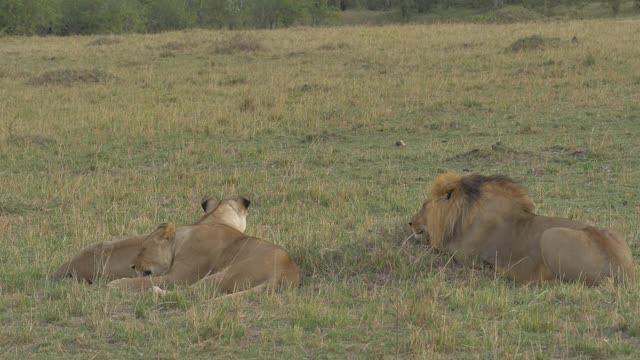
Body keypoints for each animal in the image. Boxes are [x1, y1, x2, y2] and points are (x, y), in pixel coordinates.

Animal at [107, 195, 300, 296]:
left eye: (143, 249)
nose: (132, 266)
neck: (214, 219)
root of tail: (285, 273)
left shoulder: (177, 277)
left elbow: (142, 281)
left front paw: (117, 283)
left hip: (225, 273)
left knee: (192, 293)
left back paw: (157, 292)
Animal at [412, 172, 632, 284]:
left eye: (424, 205)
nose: (410, 223)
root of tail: (622, 269)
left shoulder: (462, 255)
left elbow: (434, 248)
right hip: (613, 231)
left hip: (550, 236)